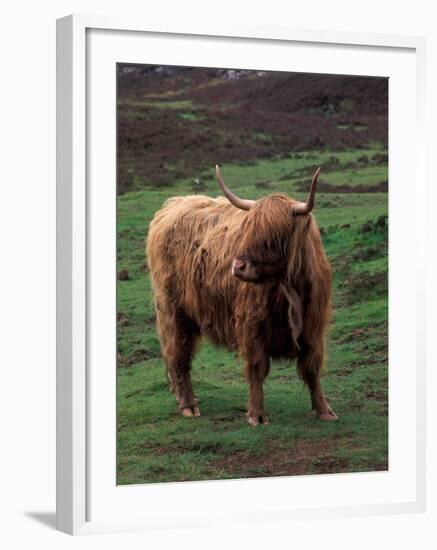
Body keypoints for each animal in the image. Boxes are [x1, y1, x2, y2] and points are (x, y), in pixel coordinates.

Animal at [146, 167, 338, 426]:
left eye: (275, 236)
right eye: (247, 230)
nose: (238, 267)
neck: (289, 289)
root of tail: (172, 205)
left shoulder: (313, 326)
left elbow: (312, 368)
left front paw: (324, 410)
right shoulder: (251, 323)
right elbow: (258, 368)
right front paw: (256, 414)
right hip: (173, 311)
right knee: (178, 355)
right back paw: (188, 404)